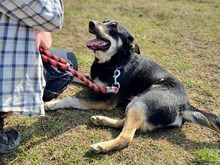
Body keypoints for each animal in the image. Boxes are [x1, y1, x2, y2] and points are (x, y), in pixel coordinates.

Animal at [45, 20, 220, 153]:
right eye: (103, 21)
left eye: (114, 28)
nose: (91, 23)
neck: (115, 62)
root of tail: (185, 106)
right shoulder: (93, 80)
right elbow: (75, 74)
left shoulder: (107, 99)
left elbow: (74, 98)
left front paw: (52, 104)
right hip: (137, 103)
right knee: (127, 123)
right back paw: (101, 120)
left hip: (142, 101)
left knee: (126, 137)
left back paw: (102, 146)